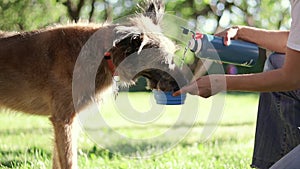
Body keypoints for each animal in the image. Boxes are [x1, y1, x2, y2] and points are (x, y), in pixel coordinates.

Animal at [0, 0, 190, 169]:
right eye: (163, 61)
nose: (185, 85)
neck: (104, 55)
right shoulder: (63, 120)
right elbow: (68, 161)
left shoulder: (66, 121)